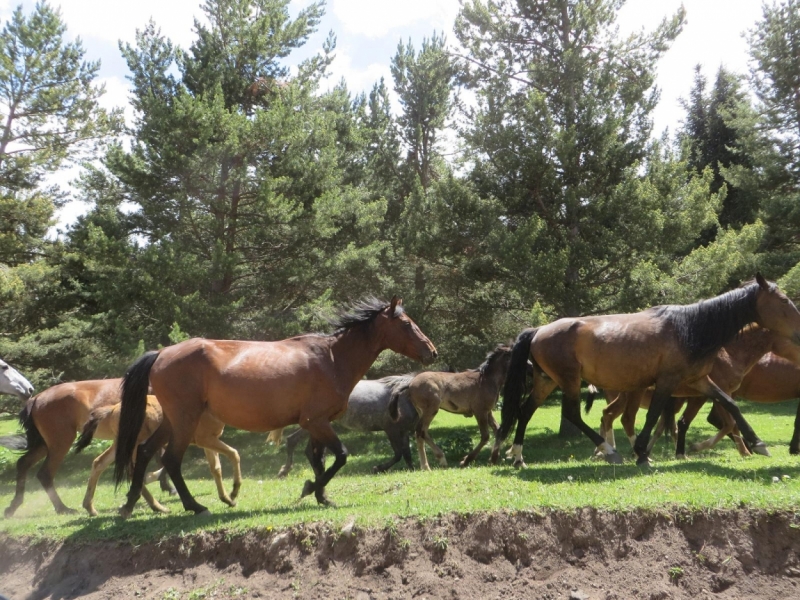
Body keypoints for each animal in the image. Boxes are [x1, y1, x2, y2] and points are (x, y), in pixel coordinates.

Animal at [75, 396, 241, 516]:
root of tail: (112, 410)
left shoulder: (208, 440)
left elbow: (216, 468)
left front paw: (228, 499)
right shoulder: (204, 438)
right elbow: (234, 453)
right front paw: (233, 493)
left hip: (120, 443)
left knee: (99, 462)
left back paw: (90, 508)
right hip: (135, 443)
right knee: (132, 471)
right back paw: (156, 506)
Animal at [278, 376, 418, 478]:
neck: (402, 397)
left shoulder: (403, 431)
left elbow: (407, 453)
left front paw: (413, 470)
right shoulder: (391, 429)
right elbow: (398, 454)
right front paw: (377, 468)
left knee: (307, 449)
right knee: (293, 440)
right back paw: (285, 471)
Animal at [490, 276, 800, 468]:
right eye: (784, 301)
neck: (690, 329)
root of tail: (538, 330)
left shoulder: (699, 381)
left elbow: (730, 404)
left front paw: (757, 443)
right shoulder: (667, 382)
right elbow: (653, 416)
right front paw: (642, 453)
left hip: (547, 381)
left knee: (525, 412)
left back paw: (517, 456)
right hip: (569, 381)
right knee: (573, 414)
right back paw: (609, 451)